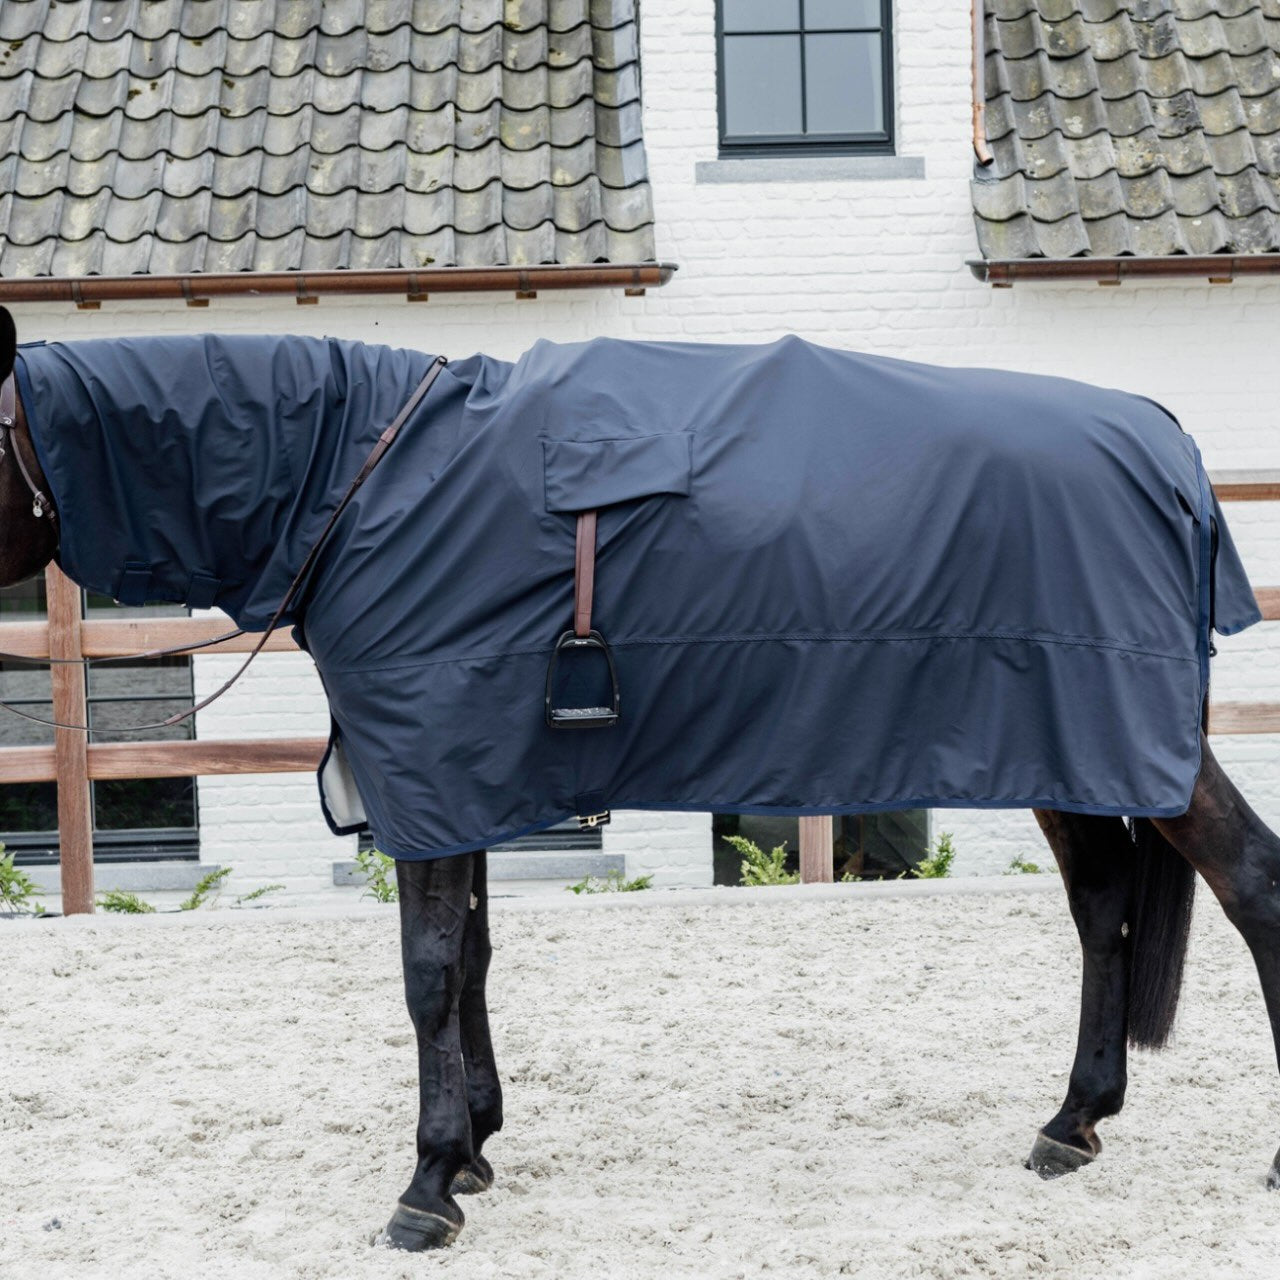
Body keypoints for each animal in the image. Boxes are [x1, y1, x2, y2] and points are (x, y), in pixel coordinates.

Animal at [3, 303, 1280, 1252]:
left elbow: (425, 974)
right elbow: (472, 957)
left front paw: (425, 1185)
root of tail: (1162, 441)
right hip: (1068, 746)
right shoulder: (456, 776)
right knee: (1104, 903)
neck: (368, 479)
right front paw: (475, 1143)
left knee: (1250, 886)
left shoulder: (429, 772)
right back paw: (1071, 1120)